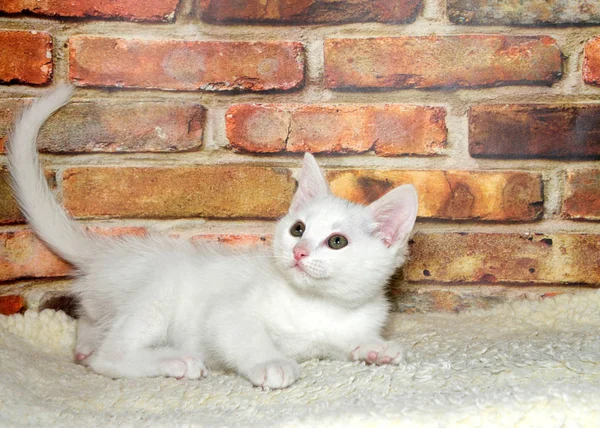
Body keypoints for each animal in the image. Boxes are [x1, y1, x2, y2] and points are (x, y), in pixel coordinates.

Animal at [9, 85, 420, 390]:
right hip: (157, 292)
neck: (319, 305)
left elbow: (350, 343)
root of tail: (107, 253)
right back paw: (175, 361)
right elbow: (245, 335)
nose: (300, 252)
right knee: (109, 356)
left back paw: (85, 344)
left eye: (337, 242)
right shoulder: (227, 314)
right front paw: (271, 362)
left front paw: (377, 349)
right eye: (298, 229)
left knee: (90, 320)